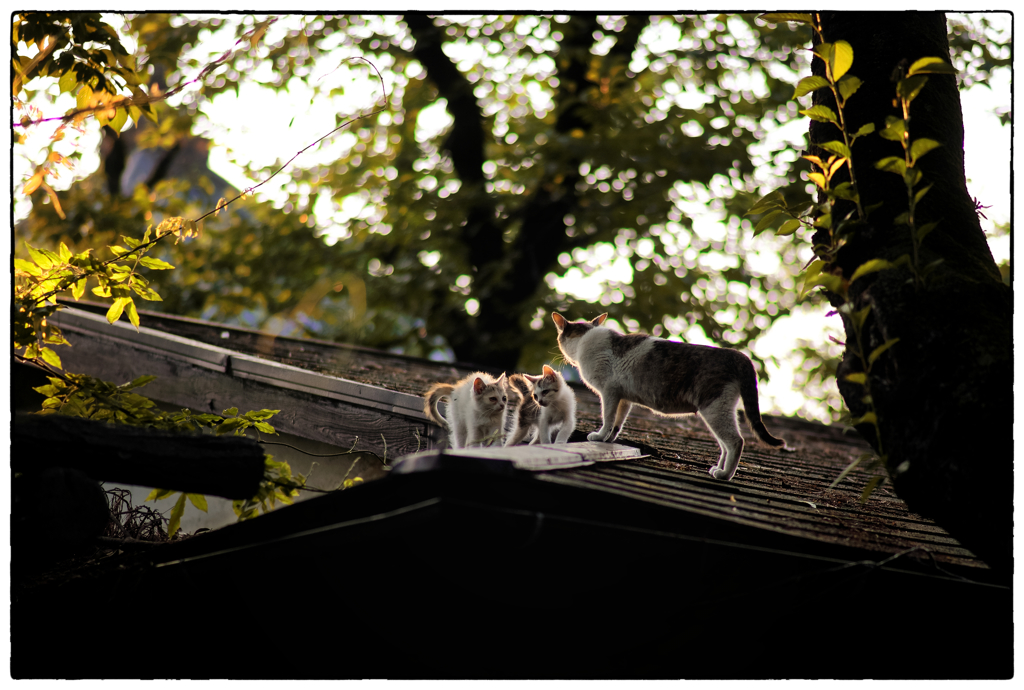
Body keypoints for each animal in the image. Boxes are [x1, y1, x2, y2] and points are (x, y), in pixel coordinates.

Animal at [552, 311, 782, 479]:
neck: (586, 339)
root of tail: (738, 355)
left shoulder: (609, 393)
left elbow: (607, 419)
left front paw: (599, 436)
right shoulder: (623, 398)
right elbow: (617, 424)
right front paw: (608, 441)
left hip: (715, 409)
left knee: (736, 441)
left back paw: (725, 475)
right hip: (721, 411)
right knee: (725, 445)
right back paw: (719, 469)